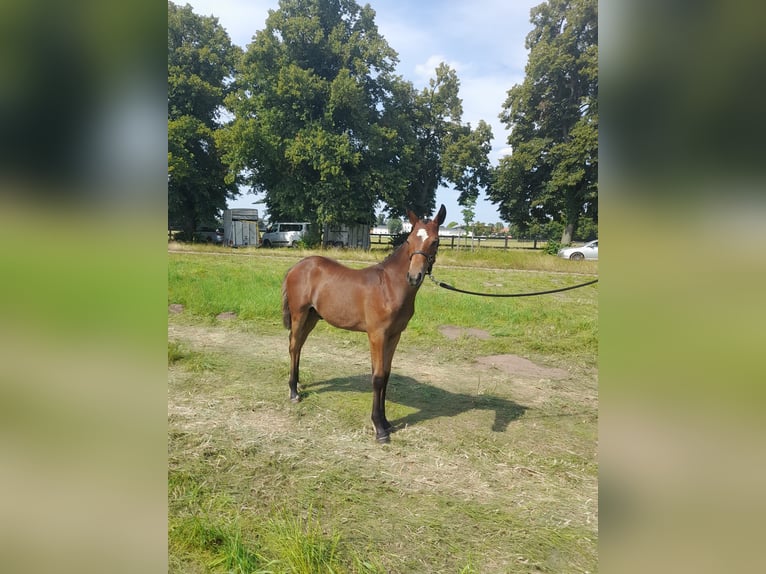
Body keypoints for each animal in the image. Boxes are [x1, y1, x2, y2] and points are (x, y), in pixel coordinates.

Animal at [282, 205, 450, 444]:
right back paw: (294, 392)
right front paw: (379, 428)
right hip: (299, 314)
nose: (414, 276)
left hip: (312, 317)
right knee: (294, 346)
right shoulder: (377, 335)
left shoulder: (394, 335)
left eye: (435, 241)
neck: (389, 286)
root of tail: (297, 266)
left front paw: (386, 422)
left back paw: (297, 384)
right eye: (409, 240)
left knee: (299, 347)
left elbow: (386, 375)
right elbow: (377, 378)